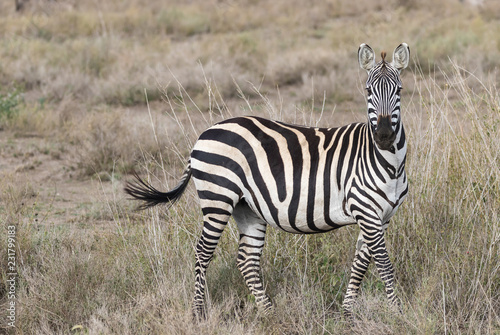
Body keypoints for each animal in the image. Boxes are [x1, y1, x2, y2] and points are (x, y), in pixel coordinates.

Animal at [125, 43, 410, 322]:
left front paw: (348, 311)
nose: (384, 136)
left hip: (247, 207)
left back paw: (269, 313)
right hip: (218, 198)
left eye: (399, 90)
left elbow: (361, 263)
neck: (389, 163)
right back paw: (198, 313)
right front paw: (397, 312)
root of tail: (205, 132)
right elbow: (384, 264)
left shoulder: (381, 217)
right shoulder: (366, 210)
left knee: (246, 259)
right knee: (203, 253)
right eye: (368, 91)